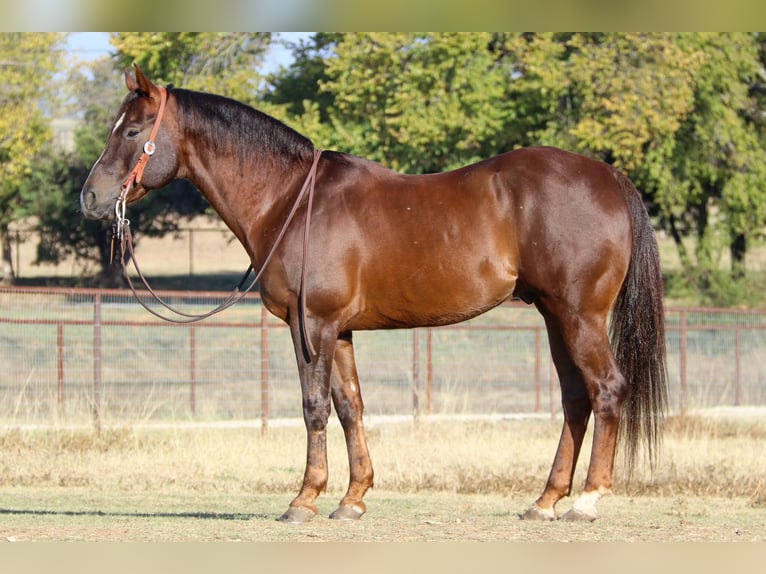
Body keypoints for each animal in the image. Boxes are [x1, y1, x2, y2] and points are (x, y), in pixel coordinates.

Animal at [79, 65, 664, 524]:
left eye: (132, 130)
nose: (91, 198)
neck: (291, 199)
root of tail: (610, 177)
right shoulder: (339, 331)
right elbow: (350, 407)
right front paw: (352, 499)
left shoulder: (311, 325)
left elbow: (314, 406)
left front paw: (304, 499)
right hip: (553, 315)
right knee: (575, 399)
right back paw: (545, 501)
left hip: (580, 316)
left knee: (607, 389)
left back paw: (587, 500)